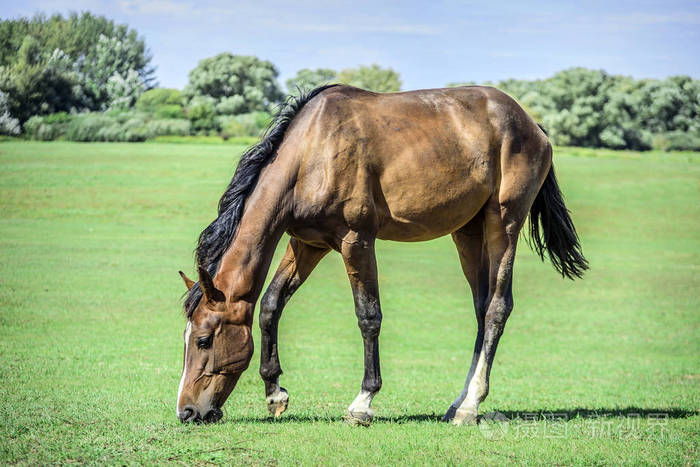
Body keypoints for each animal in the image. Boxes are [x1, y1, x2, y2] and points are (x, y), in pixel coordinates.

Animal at [174, 82, 584, 426]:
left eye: (204, 340)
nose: (187, 411)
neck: (311, 153)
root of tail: (531, 123)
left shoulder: (356, 241)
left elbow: (368, 316)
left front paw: (363, 403)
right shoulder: (308, 243)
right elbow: (272, 303)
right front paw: (275, 392)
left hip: (504, 224)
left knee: (498, 307)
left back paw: (470, 406)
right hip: (468, 232)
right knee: (482, 309)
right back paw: (458, 402)